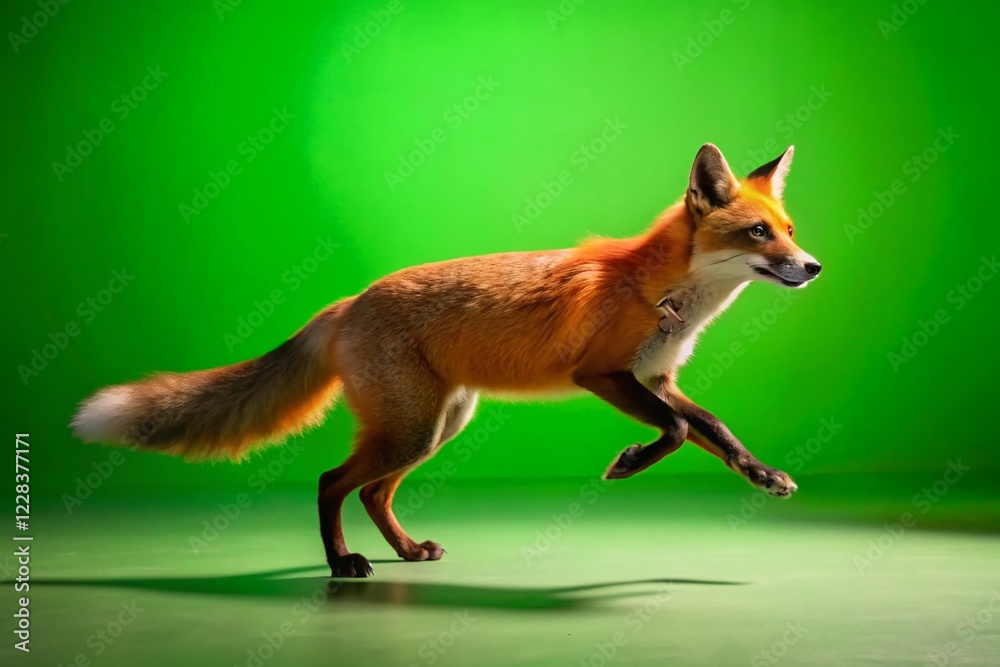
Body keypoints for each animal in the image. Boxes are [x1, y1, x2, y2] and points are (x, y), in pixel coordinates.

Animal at [72, 143, 822, 578]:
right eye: (759, 233)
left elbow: (714, 428)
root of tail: (348, 301)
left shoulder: (655, 377)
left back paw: (405, 552)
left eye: (789, 230)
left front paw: (762, 475)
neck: (663, 293)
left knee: (370, 492)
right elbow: (675, 430)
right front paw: (629, 462)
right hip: (410, 428)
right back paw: (343, 563)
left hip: (435, 424)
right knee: (330, 483)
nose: (813, 266)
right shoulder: (603, 373)